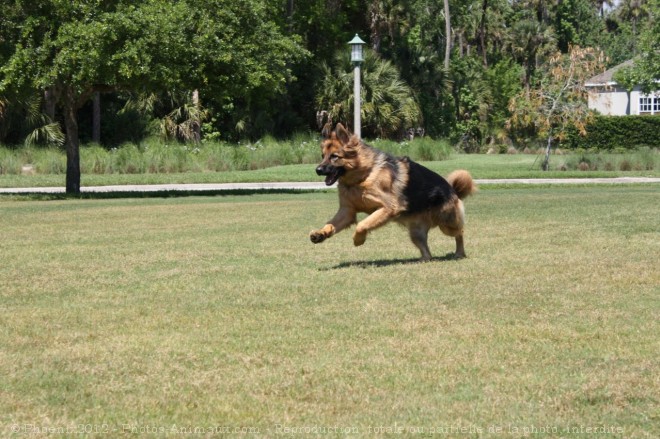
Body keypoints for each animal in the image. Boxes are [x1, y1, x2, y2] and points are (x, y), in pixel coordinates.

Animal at [310, 124, 474, 262]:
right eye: (322, 156)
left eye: (334, 156)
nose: (317, 170)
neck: (363, 176)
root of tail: (453, 190)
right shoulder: (347, 211)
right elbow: (331, 224)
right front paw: (320, 233)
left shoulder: (388, 208)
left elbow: (362, 224)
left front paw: (358, 240)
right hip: (416, 233)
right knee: (427, 250)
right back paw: (424, 259)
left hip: (447, 224)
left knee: (460, 232)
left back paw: (459, 253)